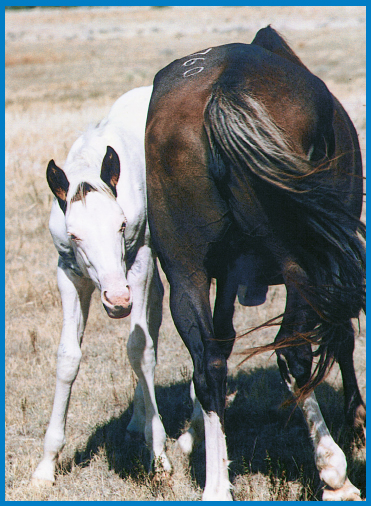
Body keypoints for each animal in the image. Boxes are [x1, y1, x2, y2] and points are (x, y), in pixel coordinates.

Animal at [31, 86, 171, 486]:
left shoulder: (139, 262)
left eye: (121, 225)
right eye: (75, 234)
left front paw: (159, 456)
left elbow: (139, 348)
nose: (117, 299)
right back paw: (138, 420)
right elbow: (68, 357)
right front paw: (46, 465)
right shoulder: (69, 274)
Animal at [146, 26, 366, 498]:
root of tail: (222, 88)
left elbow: (222, 342)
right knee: (293, 353)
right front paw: (355, 419)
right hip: (301, 266)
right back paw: (334, 474)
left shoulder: (226, 277)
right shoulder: (330, 262)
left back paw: (216, 486)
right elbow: (339, 335)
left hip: (186, 275)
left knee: (208, 366)